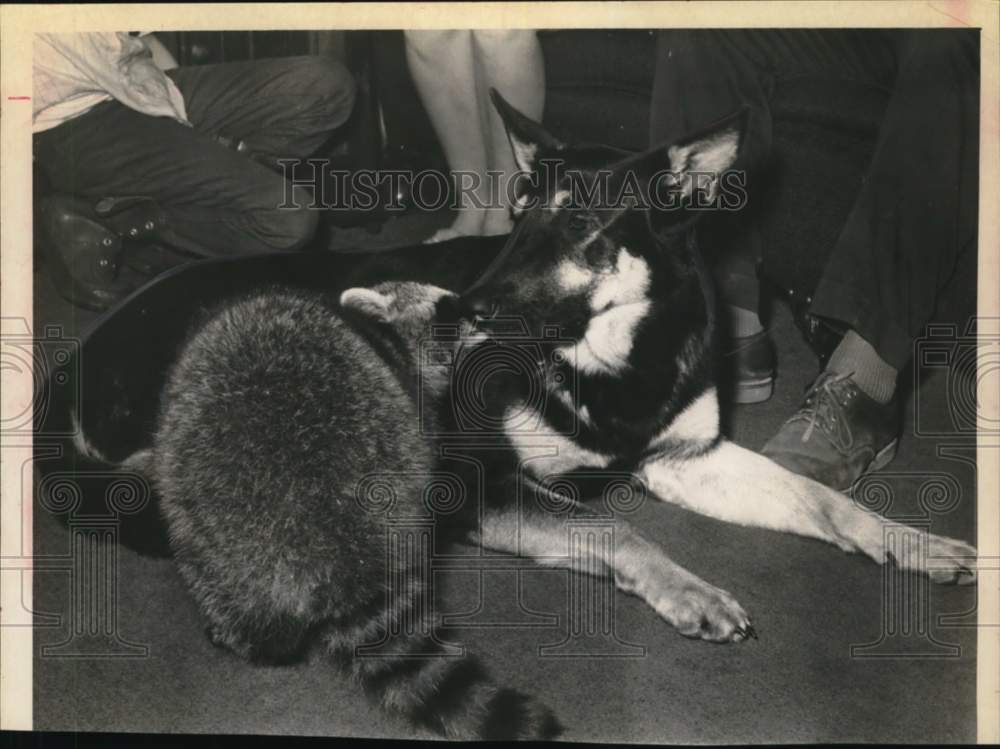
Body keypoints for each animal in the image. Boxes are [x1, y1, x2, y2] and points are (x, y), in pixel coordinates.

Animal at [84, 282, 564, 744]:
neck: (384, 337)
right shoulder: (410, 401)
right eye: (447, 308)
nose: (485, 311)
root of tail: (340, 546)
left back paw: (256, 642)